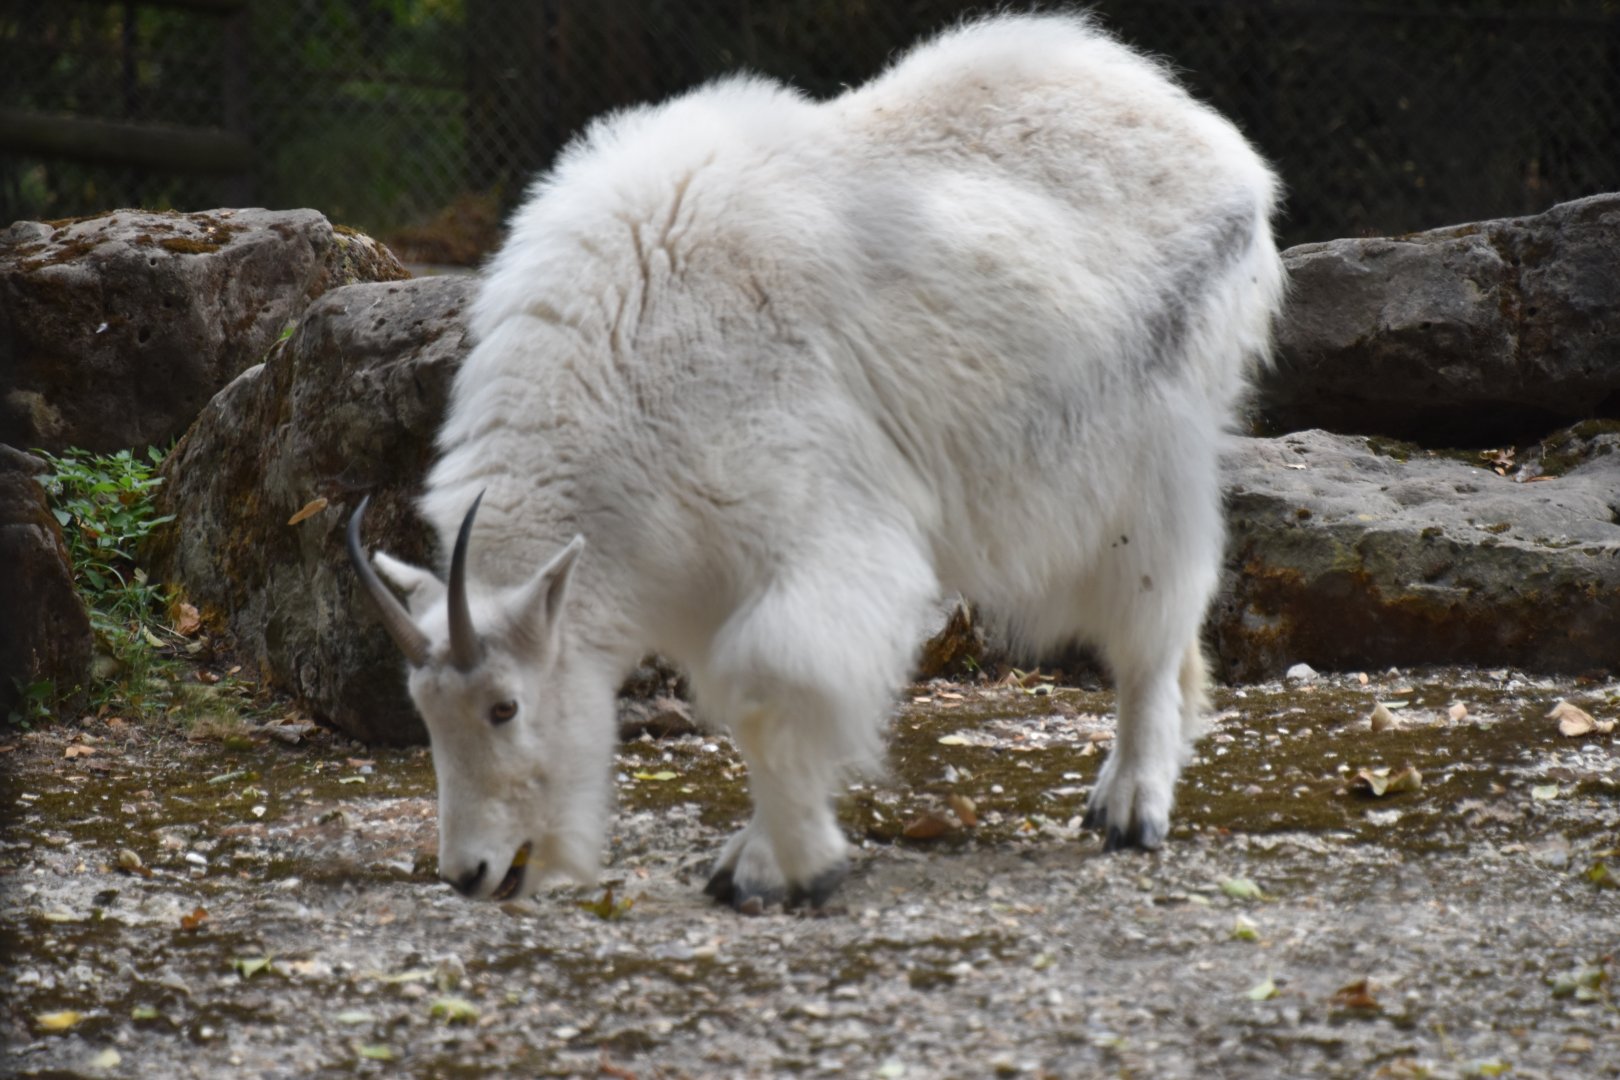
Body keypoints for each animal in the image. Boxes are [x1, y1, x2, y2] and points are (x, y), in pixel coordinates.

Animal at [348, 13, 1284, 909]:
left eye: (503, 706)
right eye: (424, 711)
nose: (472, 872)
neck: (630, 361)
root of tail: (1225, 152)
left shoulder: (815, 528)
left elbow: (770, 695)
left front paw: (783, 868)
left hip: (1151, 452)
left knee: (1154, 621)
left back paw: (1132, 807)